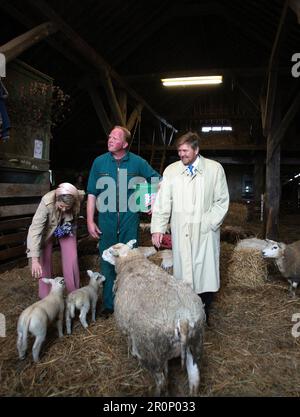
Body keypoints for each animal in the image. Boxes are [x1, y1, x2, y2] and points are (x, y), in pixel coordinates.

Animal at [102, 239, 205, 394]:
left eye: (110, 251)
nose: (101, 252)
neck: (131, 262)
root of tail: (183, 319)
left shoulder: (127, 329)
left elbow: (130, 342)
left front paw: (132, 353)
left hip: (151, 353)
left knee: (162, 381)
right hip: (194, 344)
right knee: (195, 377)